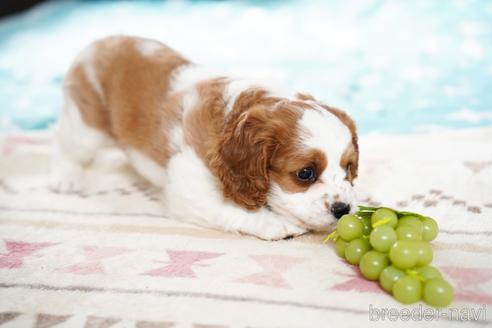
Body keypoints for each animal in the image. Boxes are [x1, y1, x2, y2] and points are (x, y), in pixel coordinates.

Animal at [52, 36, 360, 240]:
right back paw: (66, 178)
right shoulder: (190, 190)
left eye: (348, 168)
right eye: (305, 173)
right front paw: (276, 224)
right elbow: (231, 210)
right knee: (65, 145)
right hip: (86, 127)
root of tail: (100, 42)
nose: (343, 209)